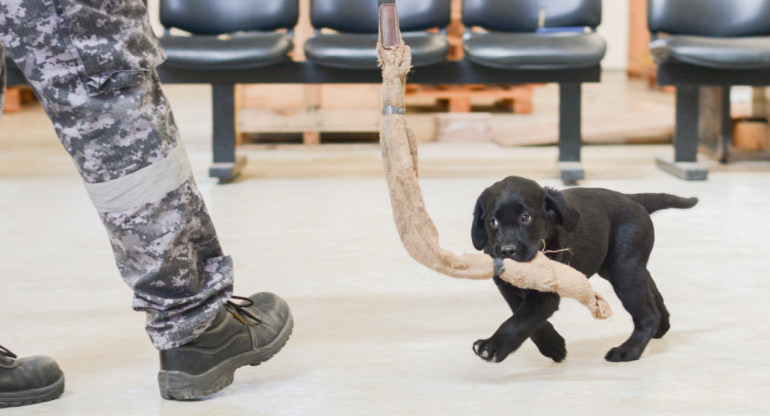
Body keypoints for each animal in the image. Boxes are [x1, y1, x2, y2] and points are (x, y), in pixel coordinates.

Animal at [468, 177, 696, 362]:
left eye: (526, 218)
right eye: (493, 222)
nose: (507, 250)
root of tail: (633, 199)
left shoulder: (545, 294)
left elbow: (520, 321)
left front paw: (492, 346)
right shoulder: (506, 286)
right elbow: (521, 314)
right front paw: (553, 346)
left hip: (623, 272)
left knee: (647, 314)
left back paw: (628, 351)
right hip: (617, 267)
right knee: (651, 288)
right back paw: (662, 326)